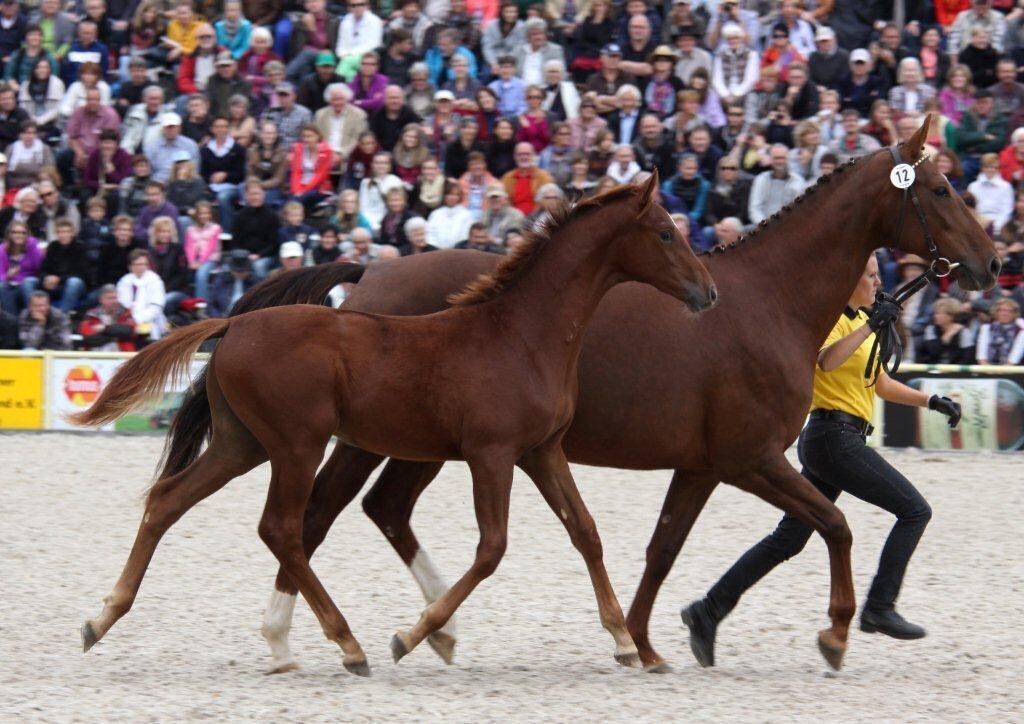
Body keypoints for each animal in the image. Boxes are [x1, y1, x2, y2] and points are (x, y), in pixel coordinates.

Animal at [74, 174, 712, 675]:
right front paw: (412, 635)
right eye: (665, 232)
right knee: (284, 528)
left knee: (169, 501)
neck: (519, 335)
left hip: (242, 442)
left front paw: (625, 642)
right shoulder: (492, 452)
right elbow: (492, 548)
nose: (707, 291)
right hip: (297, 445)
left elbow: (585, 530)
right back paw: (347, 644)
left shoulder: (542, 450)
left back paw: (103, 617)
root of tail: (232, 325)